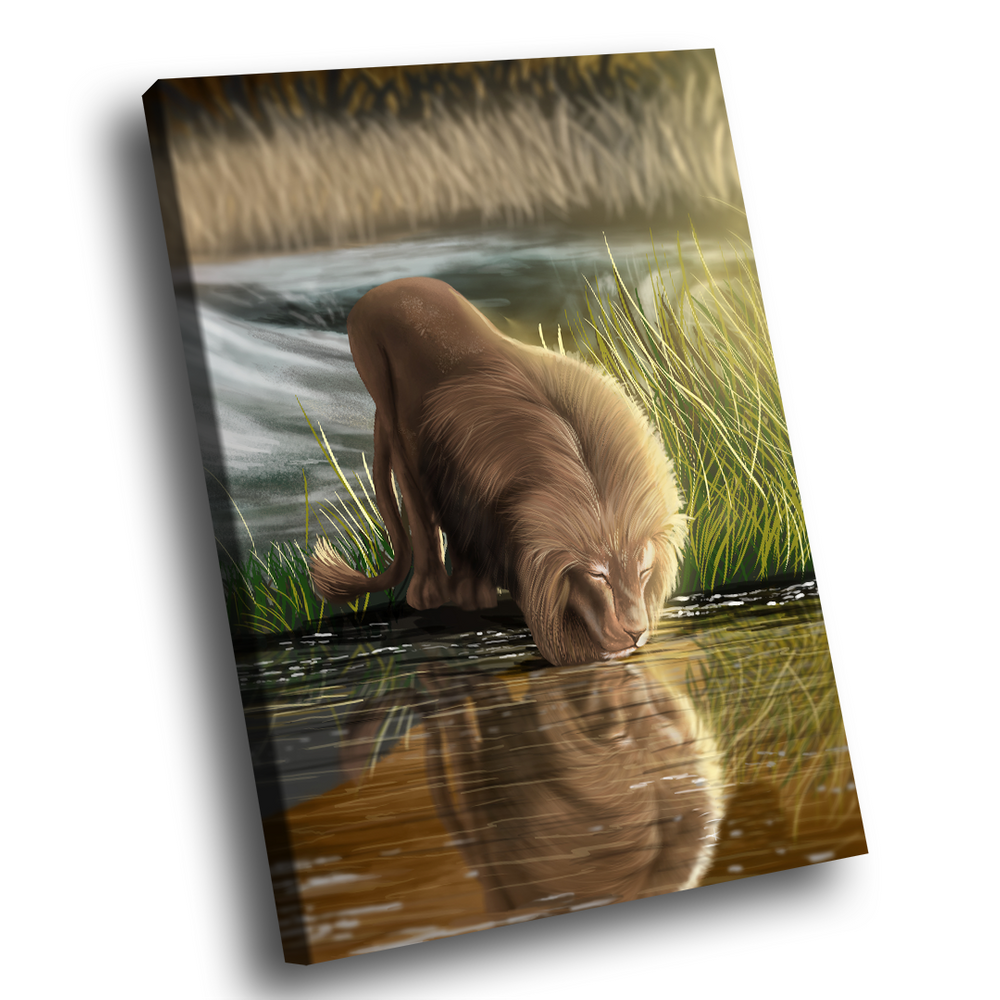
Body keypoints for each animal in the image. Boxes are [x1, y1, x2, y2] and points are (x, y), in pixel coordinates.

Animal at [310, 277, 687, 666]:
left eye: (644, 570)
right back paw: (430, 593)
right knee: (420, 515)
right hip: (388, 407)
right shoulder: (452, 482)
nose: (636, 632)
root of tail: (386, 288)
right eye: (597, 575)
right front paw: (468, 594)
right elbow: (443, 527)